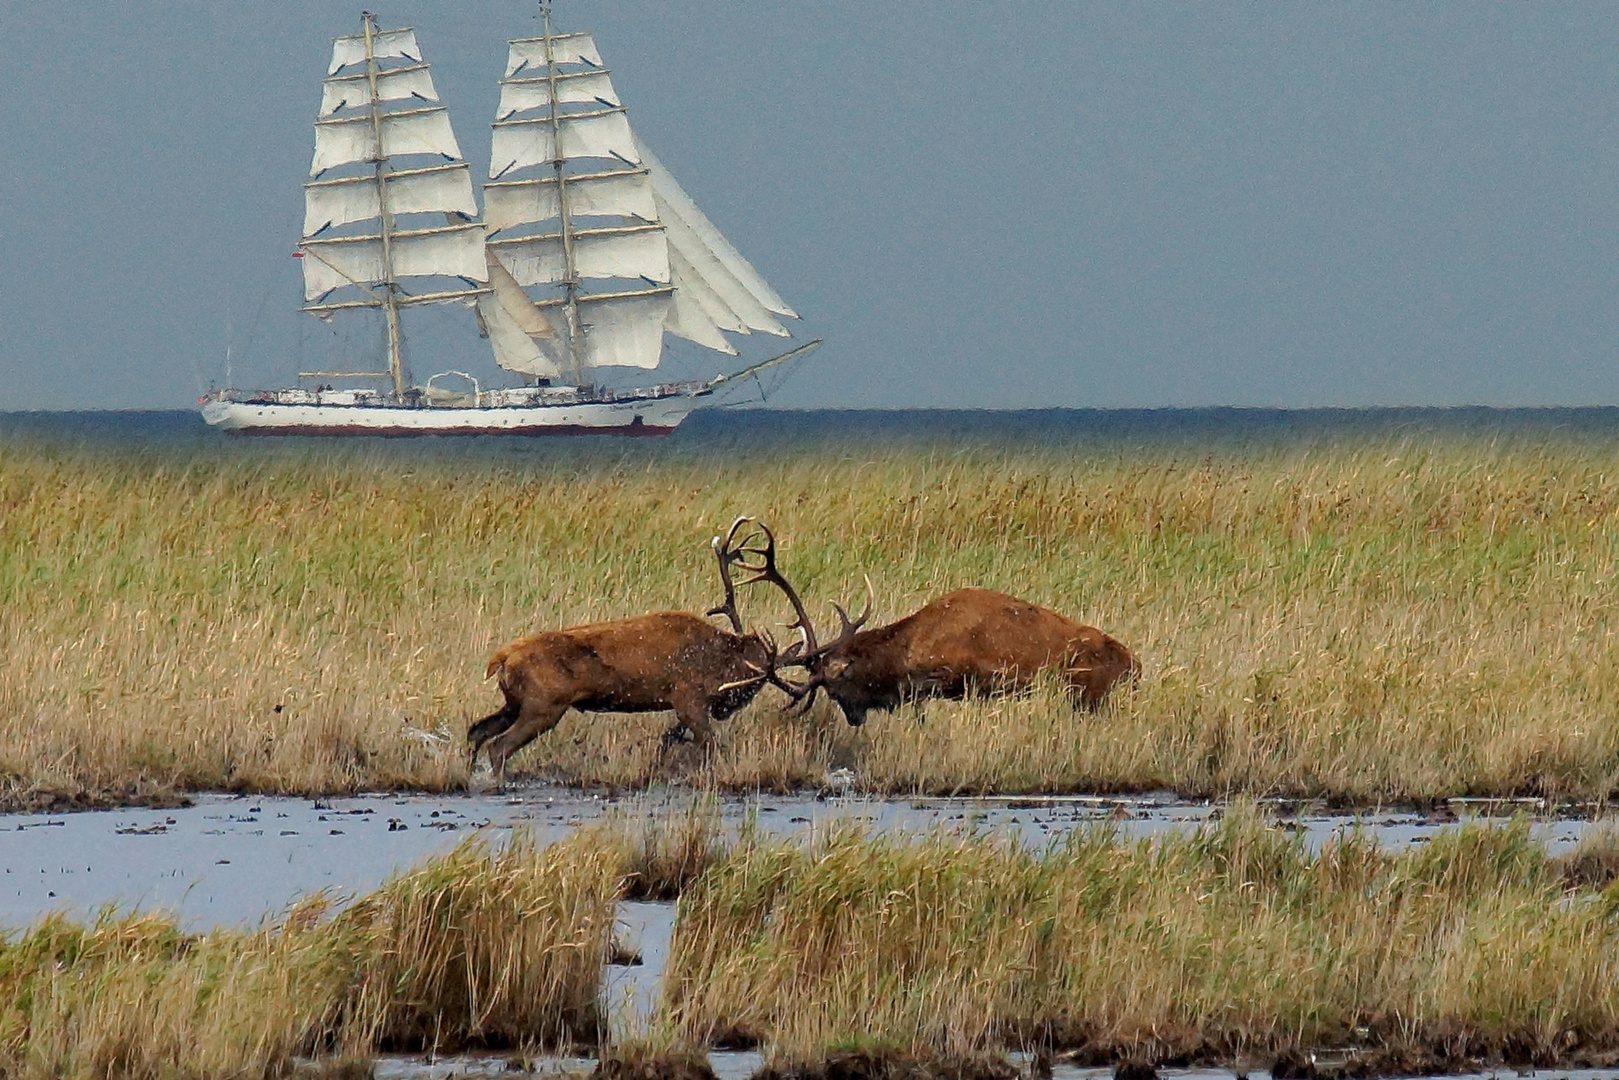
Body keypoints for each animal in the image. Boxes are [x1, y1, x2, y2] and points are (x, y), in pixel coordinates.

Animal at [466, 521, 793, 786]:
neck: (717, 659)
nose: (728, 709)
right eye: (757, 676)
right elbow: (710, 745)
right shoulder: (687, 698)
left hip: (514, 702)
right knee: (499, 746)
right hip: (543, 705)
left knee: (477, 731)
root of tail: (501, 659)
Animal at [741, 524, 1146, 725]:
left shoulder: (960, 672)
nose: (853, 719)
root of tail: (1136, 666)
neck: (904, 651)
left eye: (835, 688)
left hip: (1083, 684)